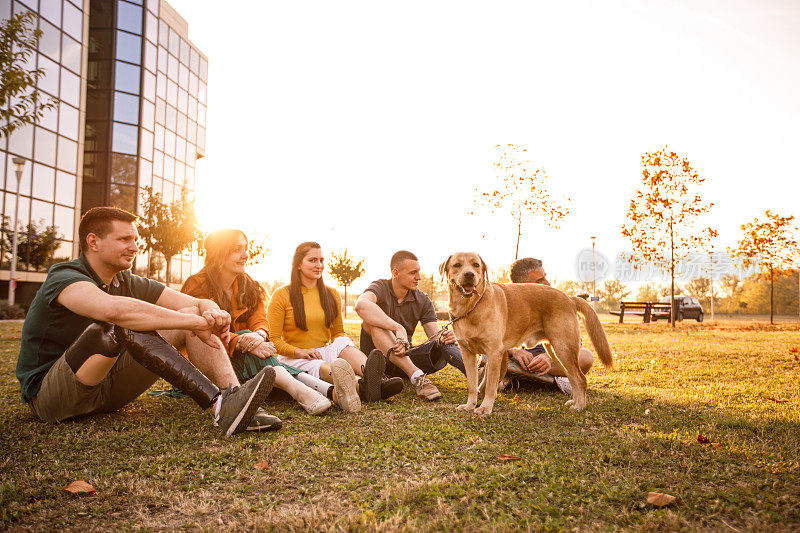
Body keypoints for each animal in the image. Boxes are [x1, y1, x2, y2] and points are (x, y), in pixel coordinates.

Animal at [444, 251, 612, 414]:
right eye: (457, 265)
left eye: (476, 265)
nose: (469, 274)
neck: (470, 307)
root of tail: (570, 298)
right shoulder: (467, 354)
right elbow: (472, 385)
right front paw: (469, 406)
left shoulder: (494, 353)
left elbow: (491, 386)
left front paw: (485, 408)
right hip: (557, 351)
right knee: (573, 377)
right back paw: (575, 402)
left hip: (564, 348)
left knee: (580, 378)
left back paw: (580, 406)